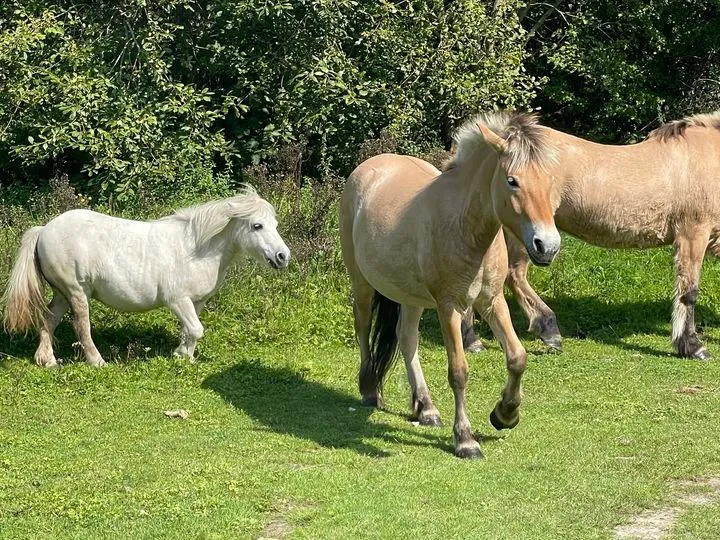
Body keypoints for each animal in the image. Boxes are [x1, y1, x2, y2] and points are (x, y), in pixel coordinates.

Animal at [2, 188, 290, 367]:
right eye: (257, 226)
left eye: (275, 225)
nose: (282, 256)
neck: (197, 248)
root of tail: (44, 230)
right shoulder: (177, 300)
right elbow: (196, 329)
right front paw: (181, 354)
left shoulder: (196, 302)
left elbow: (191, 330)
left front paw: (184, 357)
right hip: (76, 292)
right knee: (81, 326)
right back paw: (98, 362)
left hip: (62, 293)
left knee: (49, 319)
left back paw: (48, 360)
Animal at [339, 112, 562, 458]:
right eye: (512, 181)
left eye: (549, 180)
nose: (547, 246)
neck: (464, 225)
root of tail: (370, 166)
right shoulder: (449, 308)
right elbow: (458, 371)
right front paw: (465, 439)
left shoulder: (491, 301)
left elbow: (517, 357)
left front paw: (505, 414)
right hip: (361, 283)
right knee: (363, 327)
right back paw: (369, 390)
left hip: (410, 297)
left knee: (407, 339)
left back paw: (426, 408)